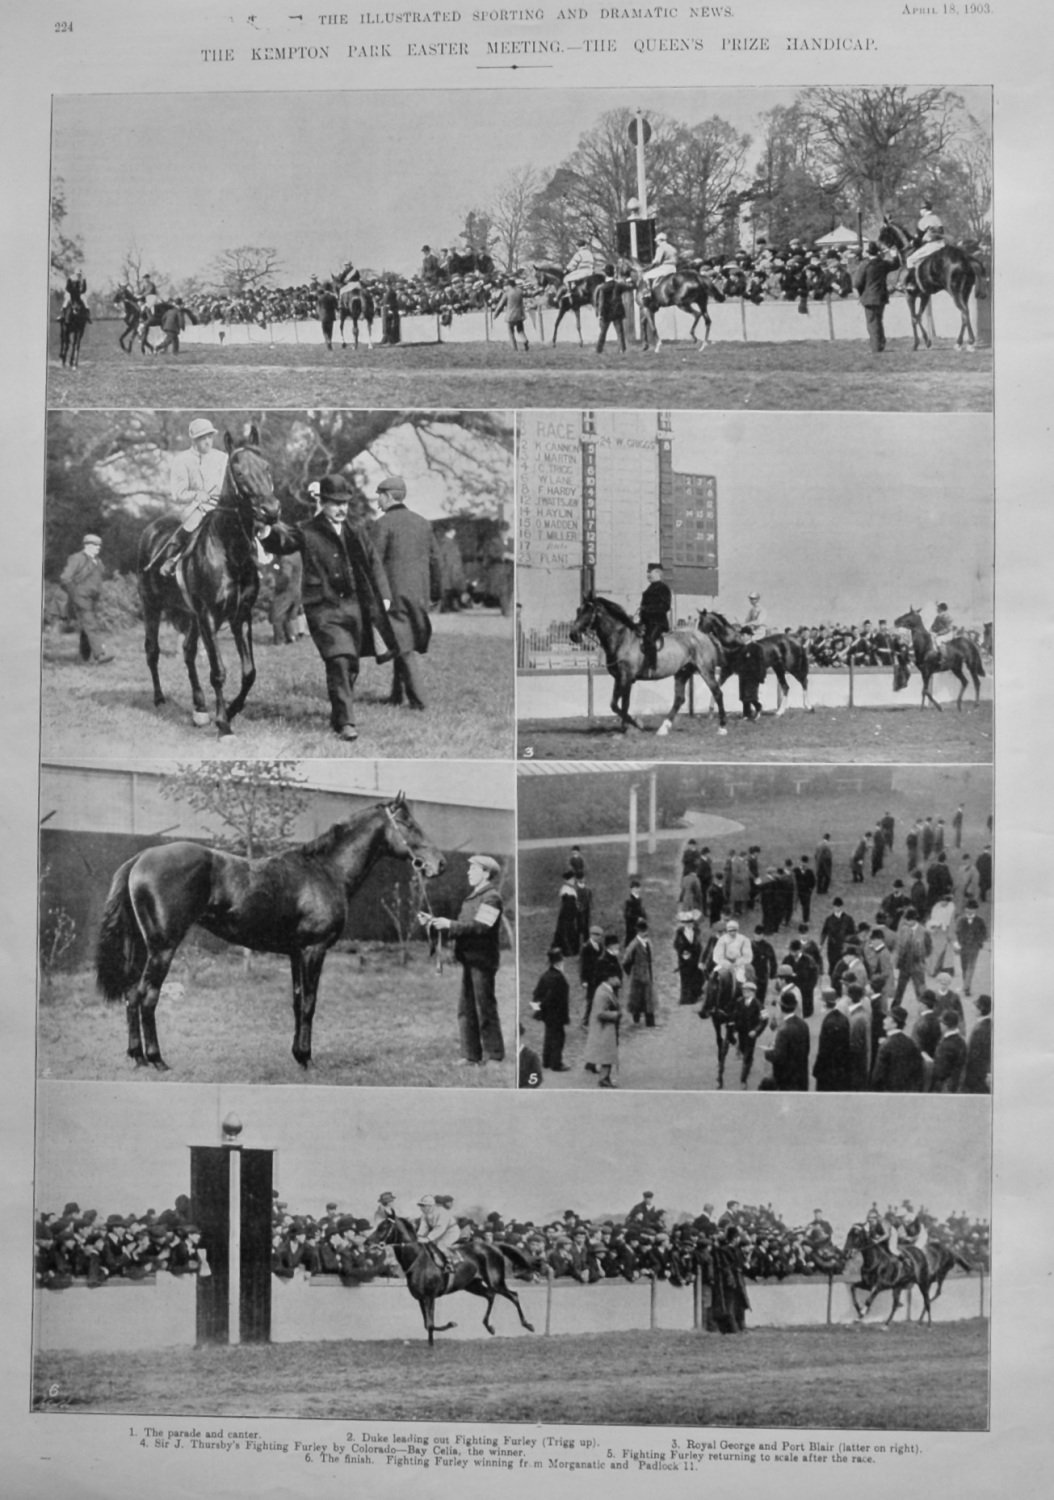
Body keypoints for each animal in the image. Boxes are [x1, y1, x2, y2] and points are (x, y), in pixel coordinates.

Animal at [94, 792, 443, 1074]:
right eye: (408, 824)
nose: (439, 863)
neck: (326, 870)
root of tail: (141, 858)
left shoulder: (295, 953)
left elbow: (297, 1001)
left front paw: (298, 1055)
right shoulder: (313, 950)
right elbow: (309, 1003)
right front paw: (307, 1059)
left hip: (144, 948)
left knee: (131, 995)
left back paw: (137, 1057)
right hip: (163, 949)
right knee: (147, 997)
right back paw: (157, 1060)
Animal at [139, 426, 280, 735]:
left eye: (267, 467)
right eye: (239, 472)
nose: (271, 511)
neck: (231, 553)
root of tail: (151, 529)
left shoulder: (241, 616)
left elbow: (249, 672)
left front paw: (231, 709)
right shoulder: (209, 616)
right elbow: (218, 672)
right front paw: (224, 723)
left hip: (191, 617)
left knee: (188, 653)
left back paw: (200, 707)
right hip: (152, 607)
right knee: (152, 652)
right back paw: (160, 698)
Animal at [368, 1218, 536, 1350]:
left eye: (383, 1227)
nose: (367, 1242)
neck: (417, 1260)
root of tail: (494, 1246)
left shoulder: (430, 1296)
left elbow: (430, 1324)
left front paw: (438, 1338)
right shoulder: (421, 1298)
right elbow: (427, 1324)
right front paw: (446, 1328)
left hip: (495, 1281)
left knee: (513, 1295)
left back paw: (528, 1324)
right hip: (472, 1285)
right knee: (490, 1295)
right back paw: (489, 1326)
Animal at [563, 597, 728, 738]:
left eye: (588, 611)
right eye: (578, 610)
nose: (573, 635)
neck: (622, 639)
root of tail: (705, 636)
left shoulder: (626, 678)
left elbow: (619, 705)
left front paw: (635, 725)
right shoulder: (620, 678)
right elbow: (620, 704)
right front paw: (626, 728)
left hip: (705, 670)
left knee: (717, 693)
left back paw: (722, 727)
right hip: (682, 673)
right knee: (679, 699)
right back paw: (663, 728)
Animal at [875, 219, 995, 352]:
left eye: (883, 232)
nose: (878, 247)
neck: (908, 253)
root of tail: (966, 258)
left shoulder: (909, 295)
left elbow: (913, 318)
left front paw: (916, 344)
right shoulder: (924, 296)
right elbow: (919, 316)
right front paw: (927, 341)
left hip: (955, 293)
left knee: (964, 312)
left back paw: (969, 342)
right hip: (965, 292)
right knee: (964, 314)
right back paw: (959, 343)